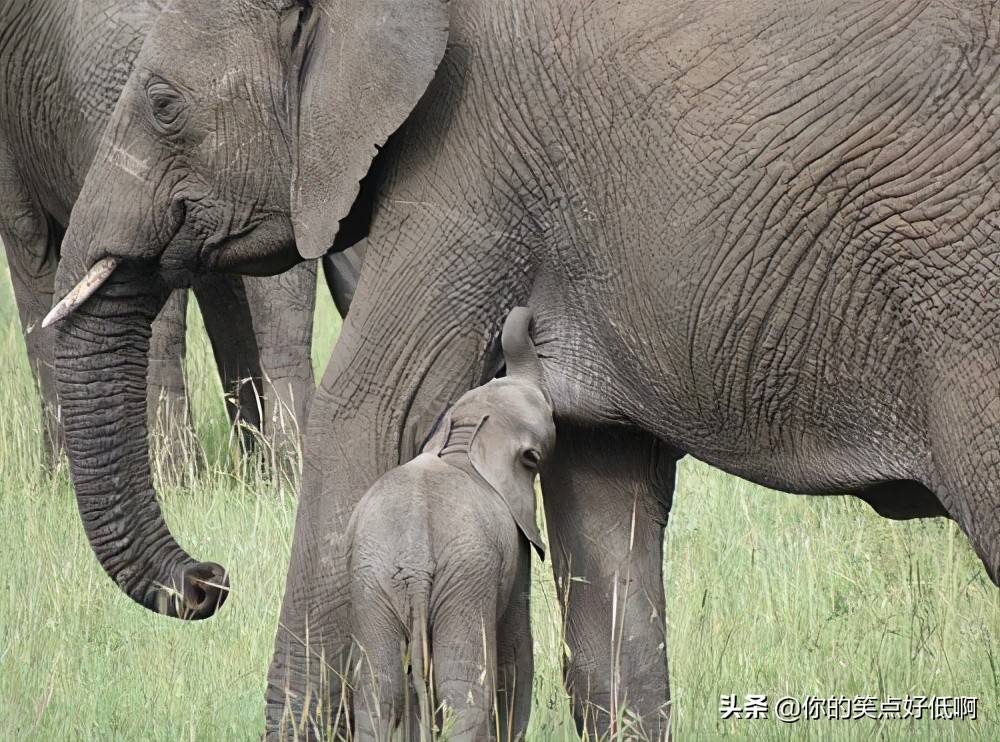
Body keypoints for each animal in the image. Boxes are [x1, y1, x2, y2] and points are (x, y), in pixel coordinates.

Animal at [348, 308, 556, 742]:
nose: (526, 315)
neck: (467, 436)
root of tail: (414, 565)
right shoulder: (513, 547)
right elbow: (514, 652)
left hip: (372, 582)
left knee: (379, 690)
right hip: (464, 580)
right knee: (463, 688)